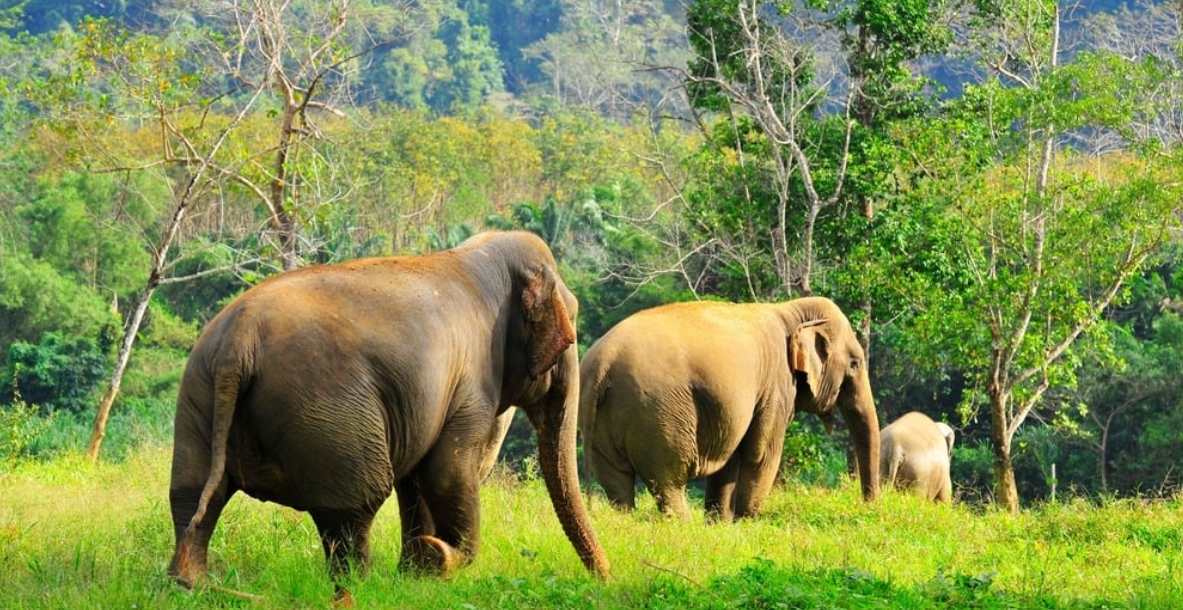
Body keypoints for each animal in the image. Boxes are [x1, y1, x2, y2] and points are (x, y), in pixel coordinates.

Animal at [167, 231, 610, 602]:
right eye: (570, 334)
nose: (605, 579)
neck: (480, 253)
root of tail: (239, 340)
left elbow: (417, 480)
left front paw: (415, 574)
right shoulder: (471, 385)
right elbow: (446, 472)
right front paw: (435, 557)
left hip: (199, 392)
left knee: (192, 493)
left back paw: (192, 585)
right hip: (328, 412)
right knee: (355, 504)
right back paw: (355, 590)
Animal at [579, 296, 880, 521]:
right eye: (855, 363)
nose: (868, 505)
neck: (789, 309)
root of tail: (604, 362)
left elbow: (729, 460)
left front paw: (719, 523)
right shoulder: (776, 387)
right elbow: (761, 454)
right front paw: (747, 521)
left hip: (600, 419)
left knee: (617, 481)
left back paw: (626, 521)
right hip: (659, 413)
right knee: (668, 479)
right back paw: (683, 525)